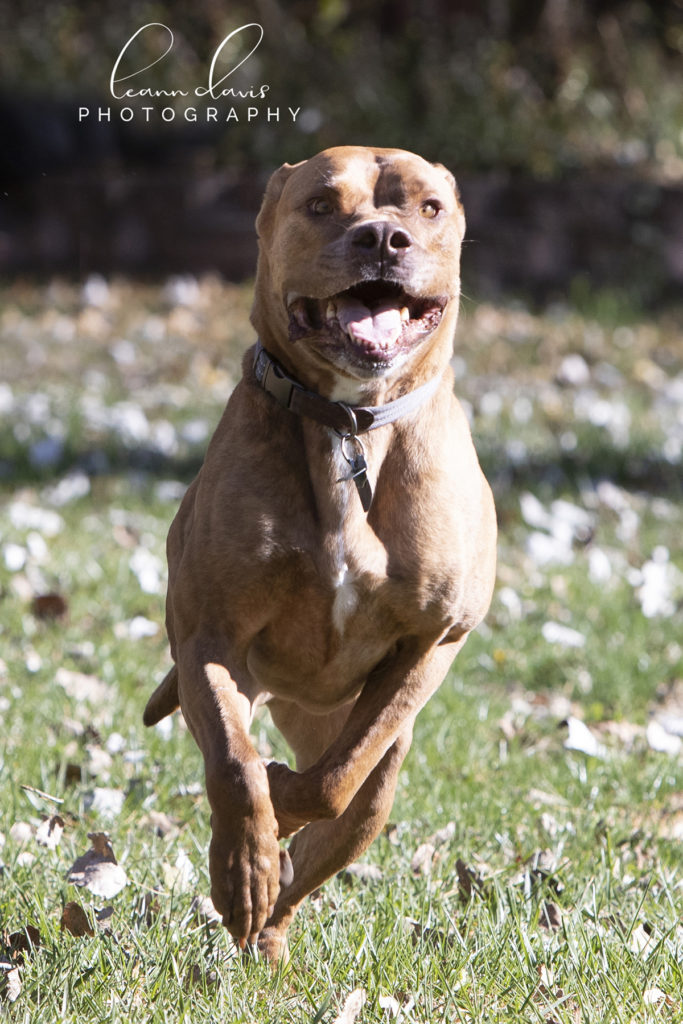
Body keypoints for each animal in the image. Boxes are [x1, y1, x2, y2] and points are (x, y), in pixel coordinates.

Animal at [143, 146, 497, 958]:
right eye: (320, 205)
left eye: (428, 207)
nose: (383, 237)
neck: (347, 421)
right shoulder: (208, 636)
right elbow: (234, 766)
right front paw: (244, 860)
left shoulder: (435, 640)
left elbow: (334, 779)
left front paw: (279, 814)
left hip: (375, 783)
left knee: (335, 825)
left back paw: (271, 920)